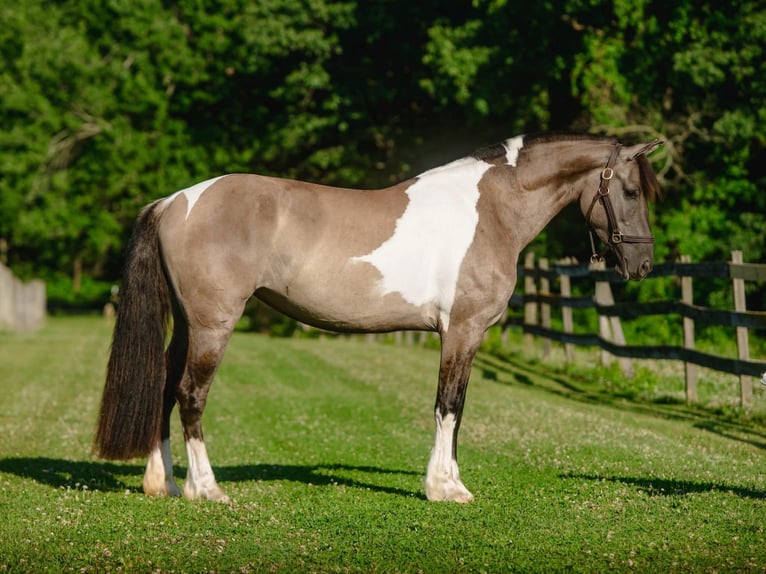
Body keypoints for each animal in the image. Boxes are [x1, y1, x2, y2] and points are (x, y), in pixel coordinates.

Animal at [95, 133, 662, 503]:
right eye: (632, 192)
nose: (643, 265)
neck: (491, 211)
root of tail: (175, 201)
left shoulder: (466, 336)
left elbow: (457, 410)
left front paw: (449, 481)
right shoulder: (461, 331)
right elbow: (448, 406)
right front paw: (445, 488)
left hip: (188, 326)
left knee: (164, 388)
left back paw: (163, 484)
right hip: (213, 326)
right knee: (191, 395)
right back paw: (207, 489)